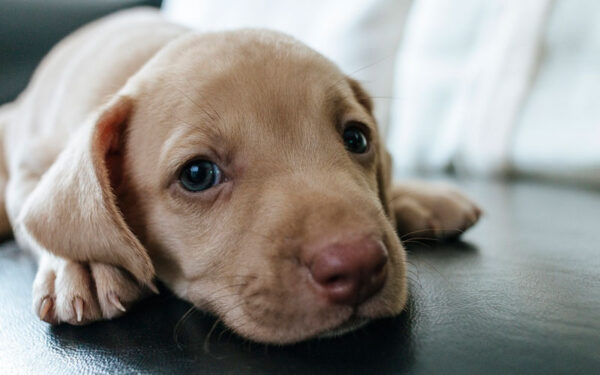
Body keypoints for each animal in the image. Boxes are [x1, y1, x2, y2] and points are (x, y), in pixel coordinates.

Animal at [0, 7, 480, 346]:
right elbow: (43, 217)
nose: (359, 265)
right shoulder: (31, 165)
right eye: (197, 174)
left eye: (358, 138)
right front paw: (82, 264)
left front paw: (412, 196)